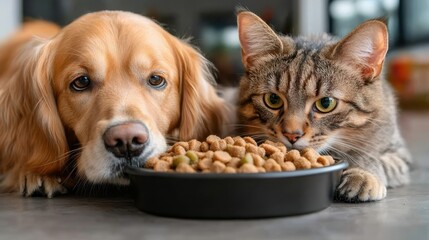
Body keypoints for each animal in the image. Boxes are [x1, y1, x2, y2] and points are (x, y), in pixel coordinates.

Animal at [236, 10, 410, 202]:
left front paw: (362, 173)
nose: (292, 135)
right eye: (273, 99)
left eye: (325, 103)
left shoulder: (400, 154)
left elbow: (371, 157)